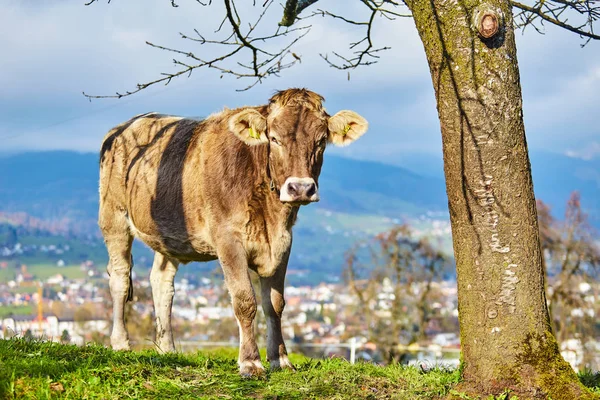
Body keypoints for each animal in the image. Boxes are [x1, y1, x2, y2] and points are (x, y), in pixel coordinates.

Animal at [98, 87, 368, 376]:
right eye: (274, 138)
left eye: (321, 141)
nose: (301, 188)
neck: (270, 214)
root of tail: (127, 125)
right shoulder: (228, 239)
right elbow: (245, 300)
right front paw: (250, 361)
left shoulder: (283, 244)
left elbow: (275, 304)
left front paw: (280, 359)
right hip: (113, 217)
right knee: (120, 278)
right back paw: (121, 343)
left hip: (169, 234)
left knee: (161, 282)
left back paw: (167, 349)